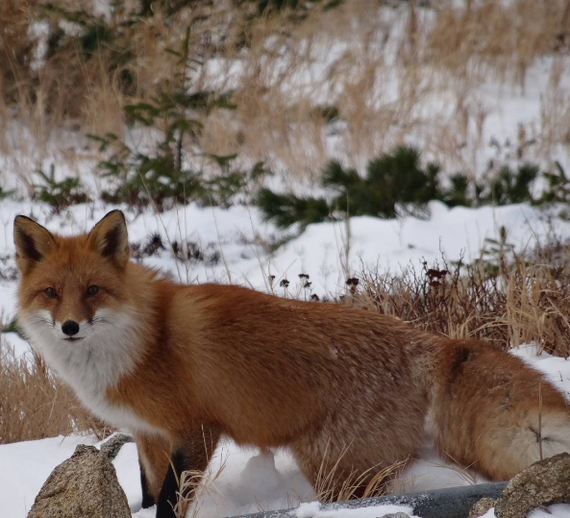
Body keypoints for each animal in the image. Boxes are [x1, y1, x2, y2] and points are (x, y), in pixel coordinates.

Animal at [12, 209, 568, 516]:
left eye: (92, 291)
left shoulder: (195, 431)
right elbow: (151, 498)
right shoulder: (148, 436)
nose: (70, 327)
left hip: (331, 467)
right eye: (52, 293)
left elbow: (169, 505)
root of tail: (426, 338)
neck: (142, 341)